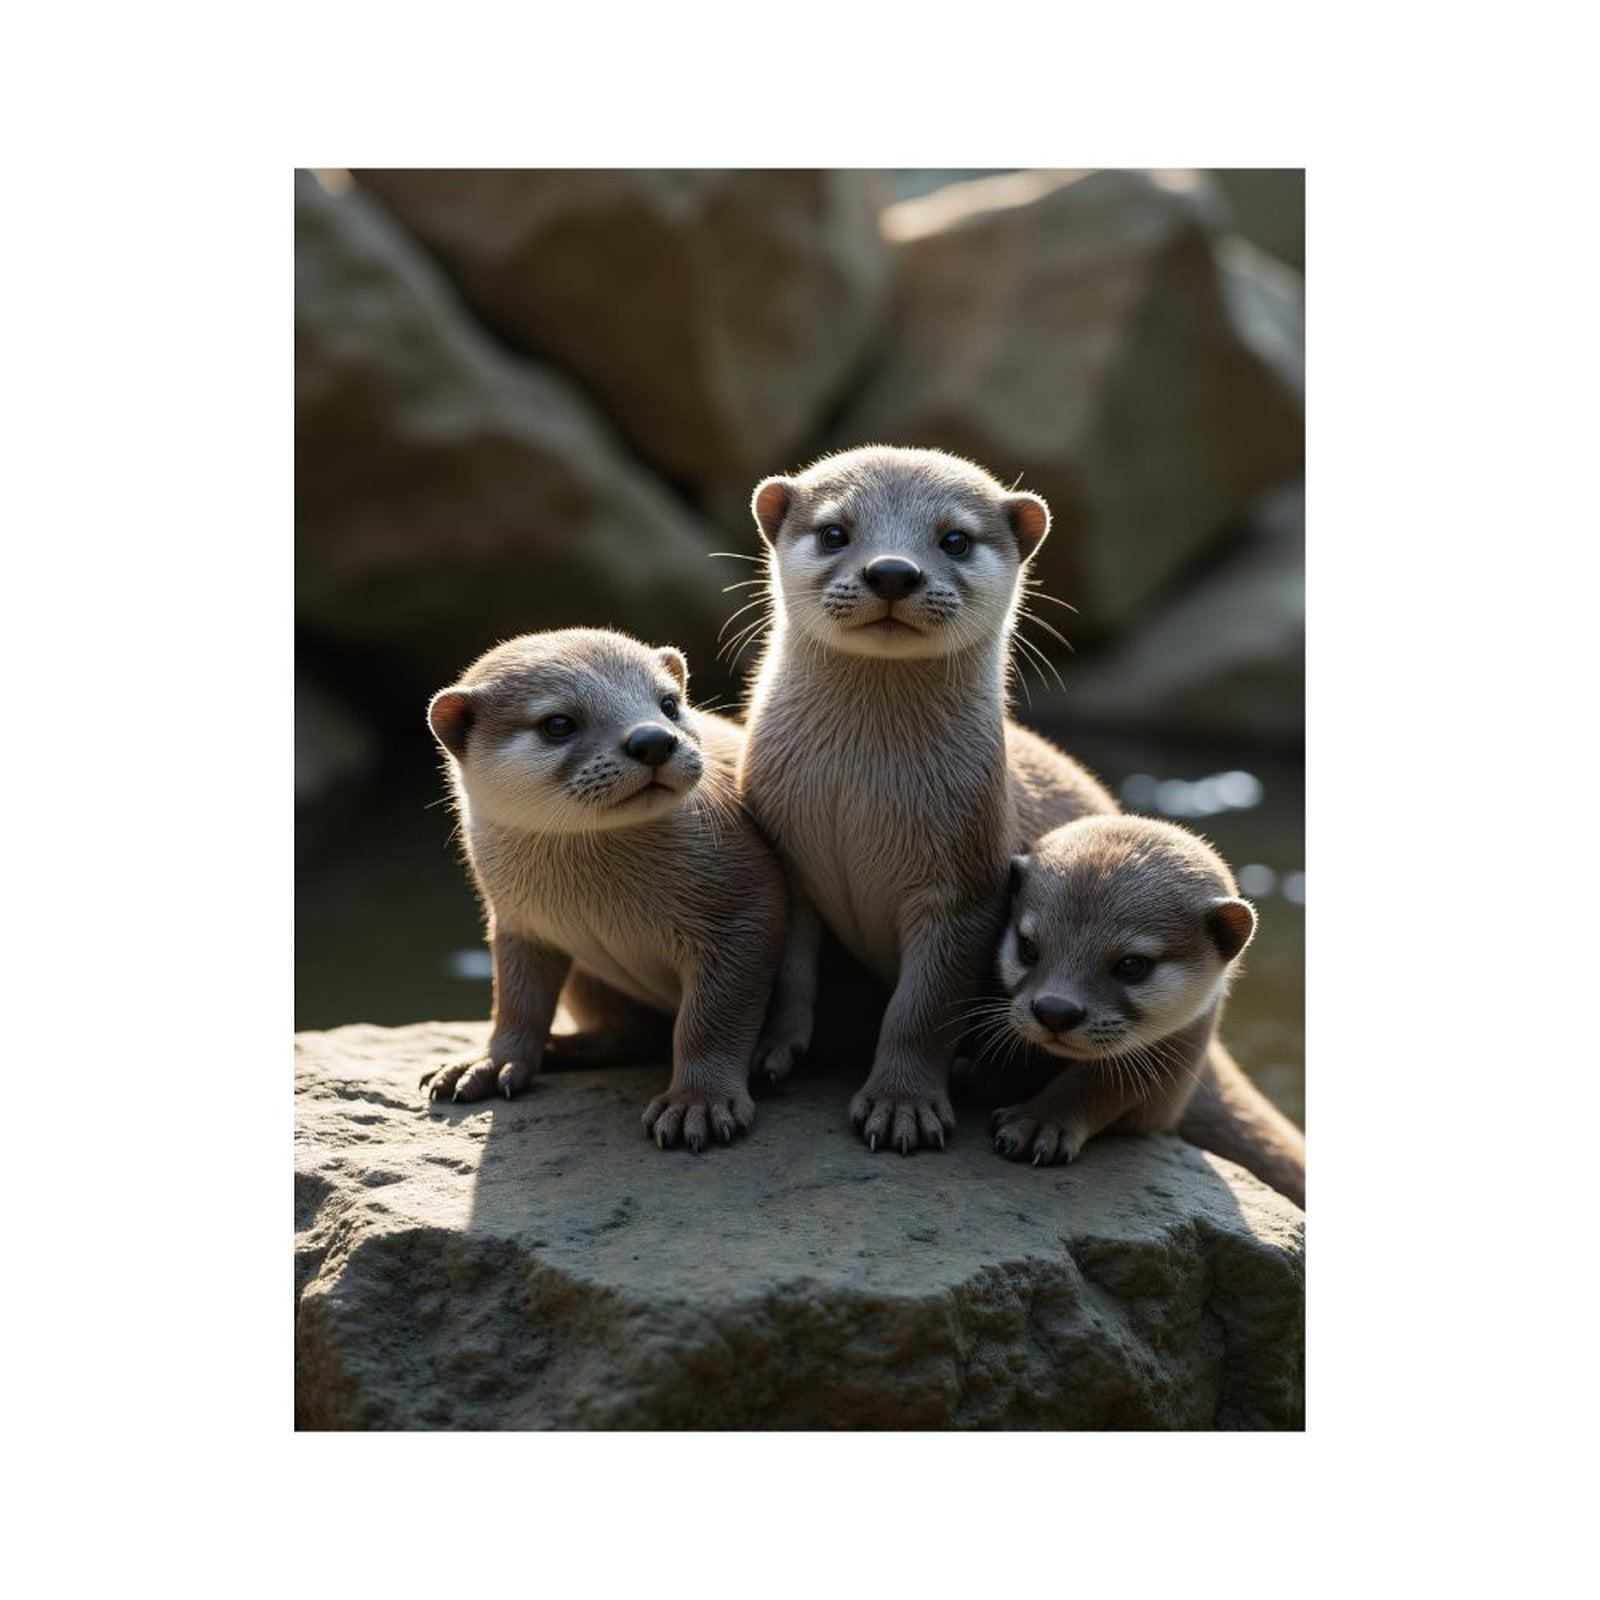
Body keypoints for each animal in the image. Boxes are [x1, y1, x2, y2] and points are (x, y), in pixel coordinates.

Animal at [421, 628, 811, 1151]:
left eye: (669, 704)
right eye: (558, 723)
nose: (653, 739)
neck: (599, 897)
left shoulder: (747, 906)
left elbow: (712, 1019)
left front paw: (698, 1103)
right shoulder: (517, 923)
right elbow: (516, 1001)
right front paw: (489, 1062)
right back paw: (561, 1049)